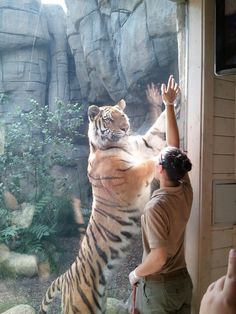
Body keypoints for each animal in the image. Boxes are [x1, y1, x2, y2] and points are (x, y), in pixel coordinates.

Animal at [40, 98, 166, 314]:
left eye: (122, 116)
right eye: (108, 119)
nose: (125, 128)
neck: (121, 144)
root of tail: (65, 277)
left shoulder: (142, 144)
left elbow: (156, 130)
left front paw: (172, 98)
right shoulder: (131, 177)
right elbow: (148, 163)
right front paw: (168, 155)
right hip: (81, 307)